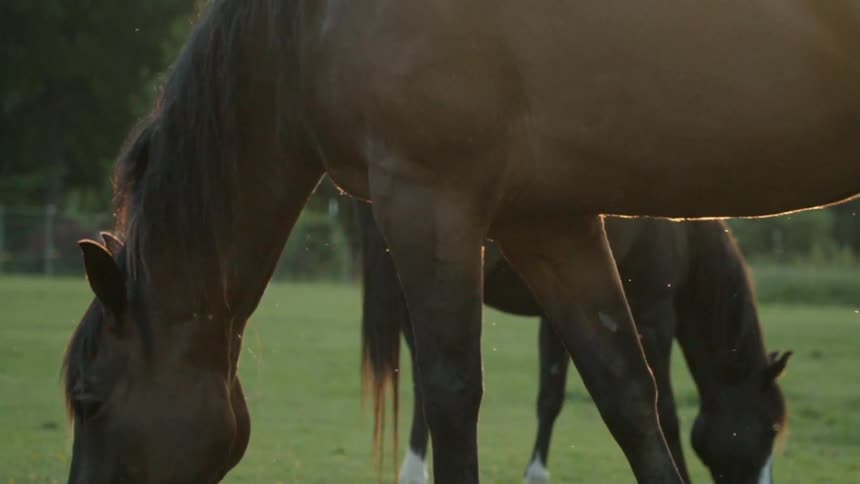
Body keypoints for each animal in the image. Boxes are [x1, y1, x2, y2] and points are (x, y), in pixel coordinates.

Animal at [356, 201, 792, 484]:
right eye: (770, 429)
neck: (683, 233)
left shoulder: (561, 314)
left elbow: (550, 398)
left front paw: (535, 474)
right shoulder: (654, 315)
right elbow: (666, 410)